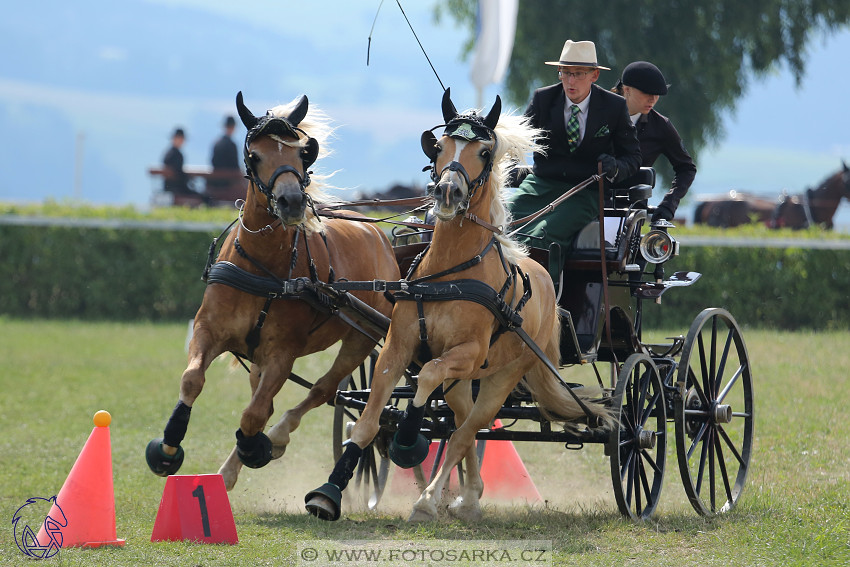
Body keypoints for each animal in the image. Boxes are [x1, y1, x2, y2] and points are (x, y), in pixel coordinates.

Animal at [145, 92, 398, 488]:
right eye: (254, 155)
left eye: (302, 154)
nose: (291, 202)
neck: (263, 268)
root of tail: (377, 232)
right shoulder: (208, 331)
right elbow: (192, 380)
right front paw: (168, 447)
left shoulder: (282, 354)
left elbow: (254, 415)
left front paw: (256, 448)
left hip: (362, 337)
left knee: (321, 390)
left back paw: (275, 438)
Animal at [304, 90, 608, 524]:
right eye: (439, 147)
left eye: (484, 151)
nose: (448, 194)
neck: (450, 273)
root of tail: (547, 276)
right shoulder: (397, 348)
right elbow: (366, 422)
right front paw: (327, 493)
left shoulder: (467, 352)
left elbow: (428, 377)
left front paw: (408, 438)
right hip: (467, 380)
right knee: (462, 425)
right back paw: (468, 495)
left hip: (501, 374)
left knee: (467, 430)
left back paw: (430, 500)